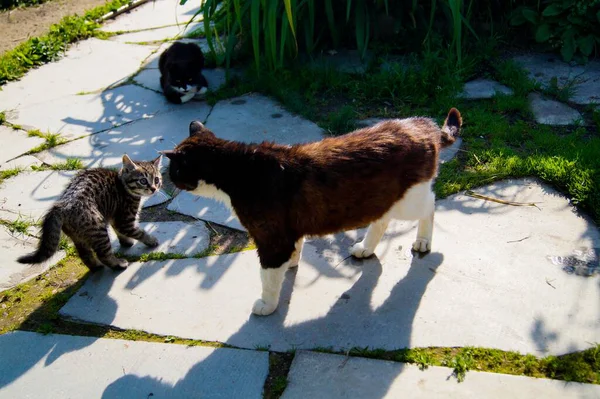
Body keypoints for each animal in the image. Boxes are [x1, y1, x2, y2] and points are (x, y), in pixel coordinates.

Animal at [17, 155, 163, 270]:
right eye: (143, 181)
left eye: (156, 179)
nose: (153, 188)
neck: (122, 183)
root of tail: (63, 205)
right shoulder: (124, 219)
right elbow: (138, 232)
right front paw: (151, 240)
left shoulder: (114, 216)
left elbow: (119, 231)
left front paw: (126, 241)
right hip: (98, 228)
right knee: (103, 254)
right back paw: (118, 264)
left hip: (78, 235)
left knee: (84, 254)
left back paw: (96, 267)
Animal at [162, 108, 462, 318]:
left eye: (174, 169)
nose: (165, 177)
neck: (239, 169)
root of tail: (420, 124)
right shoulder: (288, 231)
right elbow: (294, 250)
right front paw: (293, 263)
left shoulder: (271, 240)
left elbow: (268, 277)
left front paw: (267, 304)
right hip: (381, 198)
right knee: (383, 219)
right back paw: (366, 247)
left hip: (410, 200)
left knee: (430, 205)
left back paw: (423, 241)